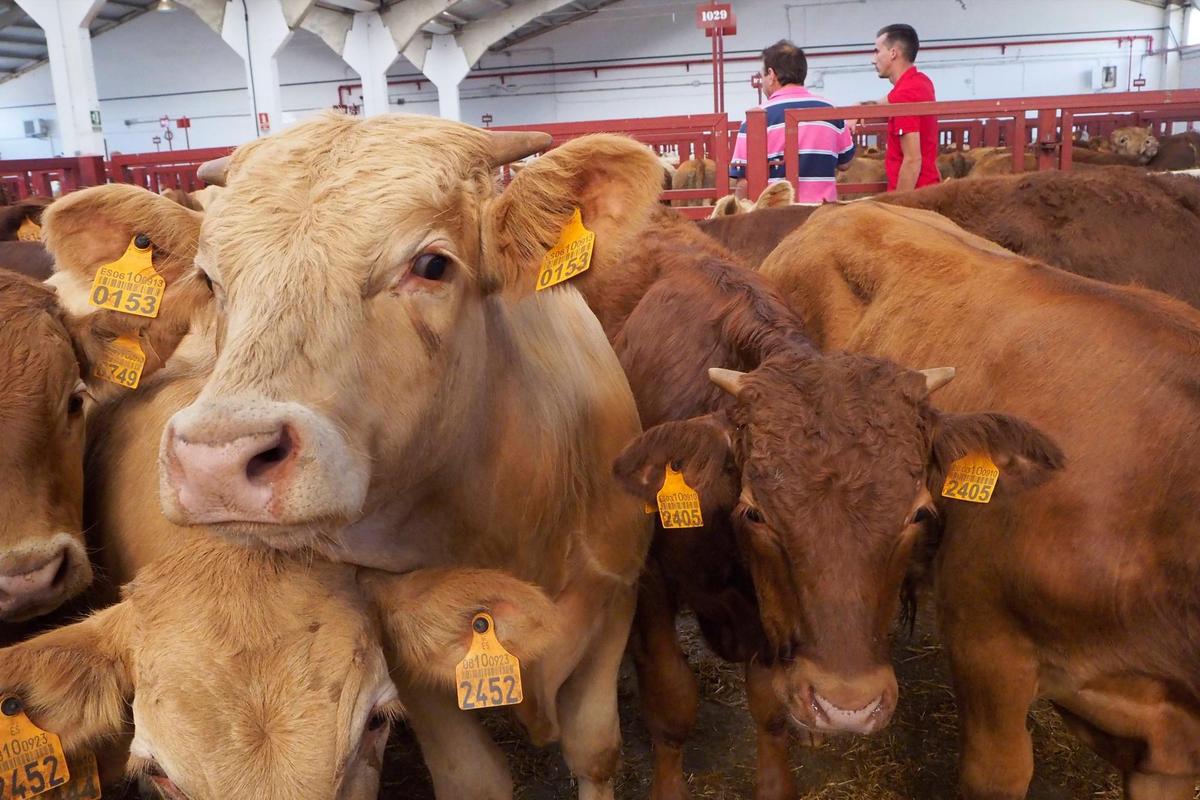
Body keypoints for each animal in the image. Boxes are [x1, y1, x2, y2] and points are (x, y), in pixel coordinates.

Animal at [566, 208, 1056, 800]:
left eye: (918, 512)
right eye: (755, 512)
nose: (849, 709)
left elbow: (770, 703)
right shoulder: (651, 585)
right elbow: (671, 702)